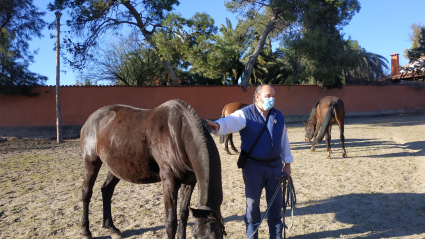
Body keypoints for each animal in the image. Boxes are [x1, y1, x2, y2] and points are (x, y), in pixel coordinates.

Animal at [80, 99, 225, 239]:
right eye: (197, 236)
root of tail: (91, 118)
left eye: (215, 236)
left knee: (107, 190)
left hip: (115, 168)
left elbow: (183, 215)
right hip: (91, 161)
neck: (178, 134)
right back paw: (86, 231)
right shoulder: (169, 181)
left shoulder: (190, 182)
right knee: (86, 192)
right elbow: (171, 222)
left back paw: (112, 228)